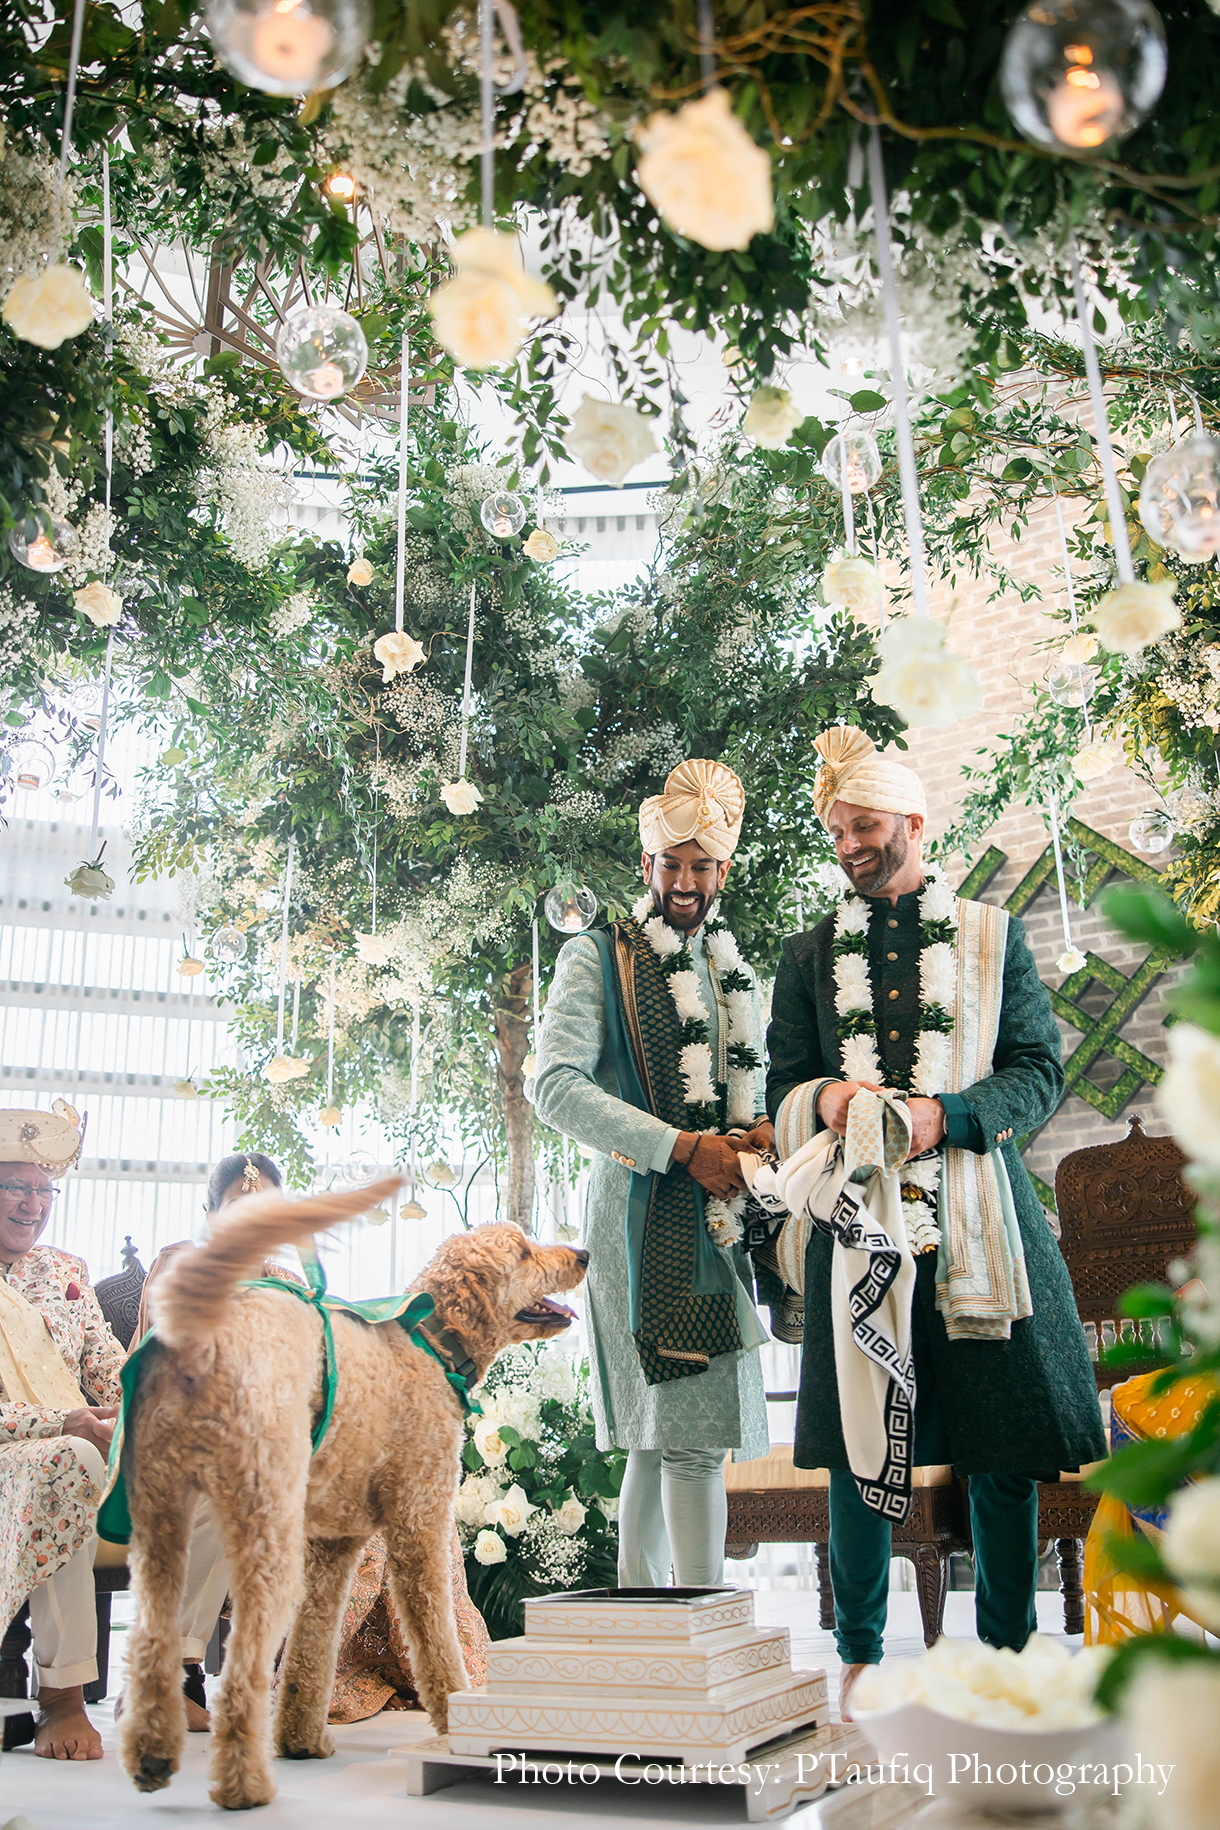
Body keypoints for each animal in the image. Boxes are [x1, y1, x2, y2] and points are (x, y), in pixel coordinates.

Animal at [116, 1179, 588, 1810]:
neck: (426, 1343)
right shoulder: (418, 1525)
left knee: (151, 1644)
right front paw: (456, 1724)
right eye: (521, 1252)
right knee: (241, 1667)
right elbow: (435, 1642)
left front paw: (300, 1739)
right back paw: (243, 1785)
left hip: (160, 1523)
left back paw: (152, 1755)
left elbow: (312, 1650)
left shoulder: (333, 1546)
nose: (583, 1255)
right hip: (265, 1529)